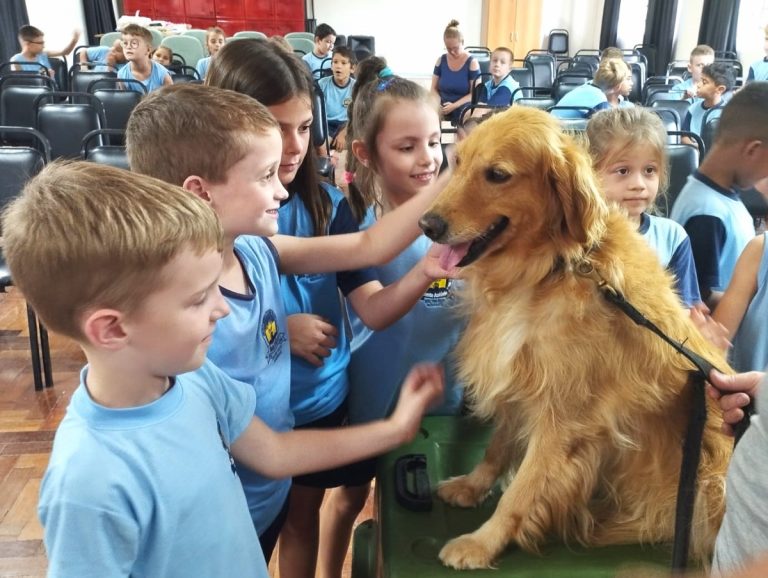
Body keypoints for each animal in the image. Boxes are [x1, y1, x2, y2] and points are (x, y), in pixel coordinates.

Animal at [418, 107, 732, 570]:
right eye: (457, 163)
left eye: (497, 175)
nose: (427, 224)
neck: (552, 267)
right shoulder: (522, 376)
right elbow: (498, 446)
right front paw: (473, 486)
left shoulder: (566, 414)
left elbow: (523, 489)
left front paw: (482, 542)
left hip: (710, 482)